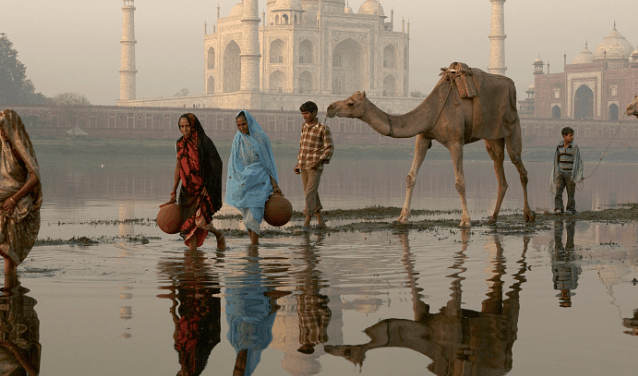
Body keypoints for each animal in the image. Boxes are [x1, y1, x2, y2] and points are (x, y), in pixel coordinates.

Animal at [328, 61, 536, 226]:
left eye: (351, 103)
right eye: (347, 98)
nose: (330, 107)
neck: (432, 109)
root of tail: (512, 86)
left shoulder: (455, 141)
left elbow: (460, 182)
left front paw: (465, 220)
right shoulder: (423, 136)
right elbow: (410, 177)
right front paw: (402, 218)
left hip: (512, 125)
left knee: (519, 165)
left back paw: (528, 215)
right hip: (492, 135)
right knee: (499, 168)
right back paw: (493, 217)